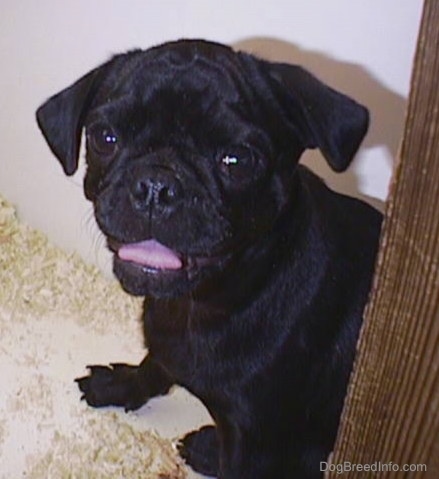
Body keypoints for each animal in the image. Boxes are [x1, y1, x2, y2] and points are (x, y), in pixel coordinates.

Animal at [36, 39, 384, 478]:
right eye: (105, 137)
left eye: (237, 160)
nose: (156, 185)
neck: (202, 302)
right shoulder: (167, 344)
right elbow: (155, 363)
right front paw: (122, 385)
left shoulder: (256, 443)